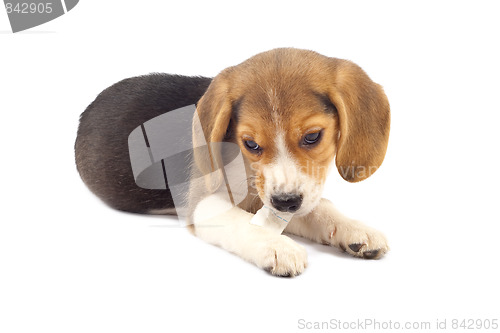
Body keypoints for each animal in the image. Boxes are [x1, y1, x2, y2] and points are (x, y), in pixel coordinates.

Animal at [76, 46, 392, 274]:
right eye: (251, 143)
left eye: (313, 137)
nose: (286, 202)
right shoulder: (202, 202)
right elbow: (241, 221)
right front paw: (276, 246)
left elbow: (319, 208)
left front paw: (354, 229)